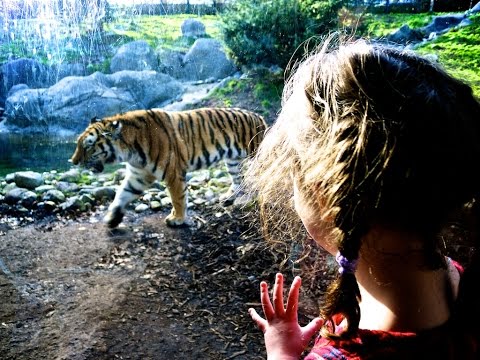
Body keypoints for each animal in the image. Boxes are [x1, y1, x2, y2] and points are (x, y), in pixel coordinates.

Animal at [70, 106, 266, 228]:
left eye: (88, 145)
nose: (73, 162)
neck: (129, 150)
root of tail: (259, 116)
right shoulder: (138, 175)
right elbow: (121, 194)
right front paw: (113, 218)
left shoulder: (173, 173)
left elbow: (177, 198)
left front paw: (177, 219)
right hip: (232, 161)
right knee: (238, 179)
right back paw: (230, 197)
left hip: (256, 154)